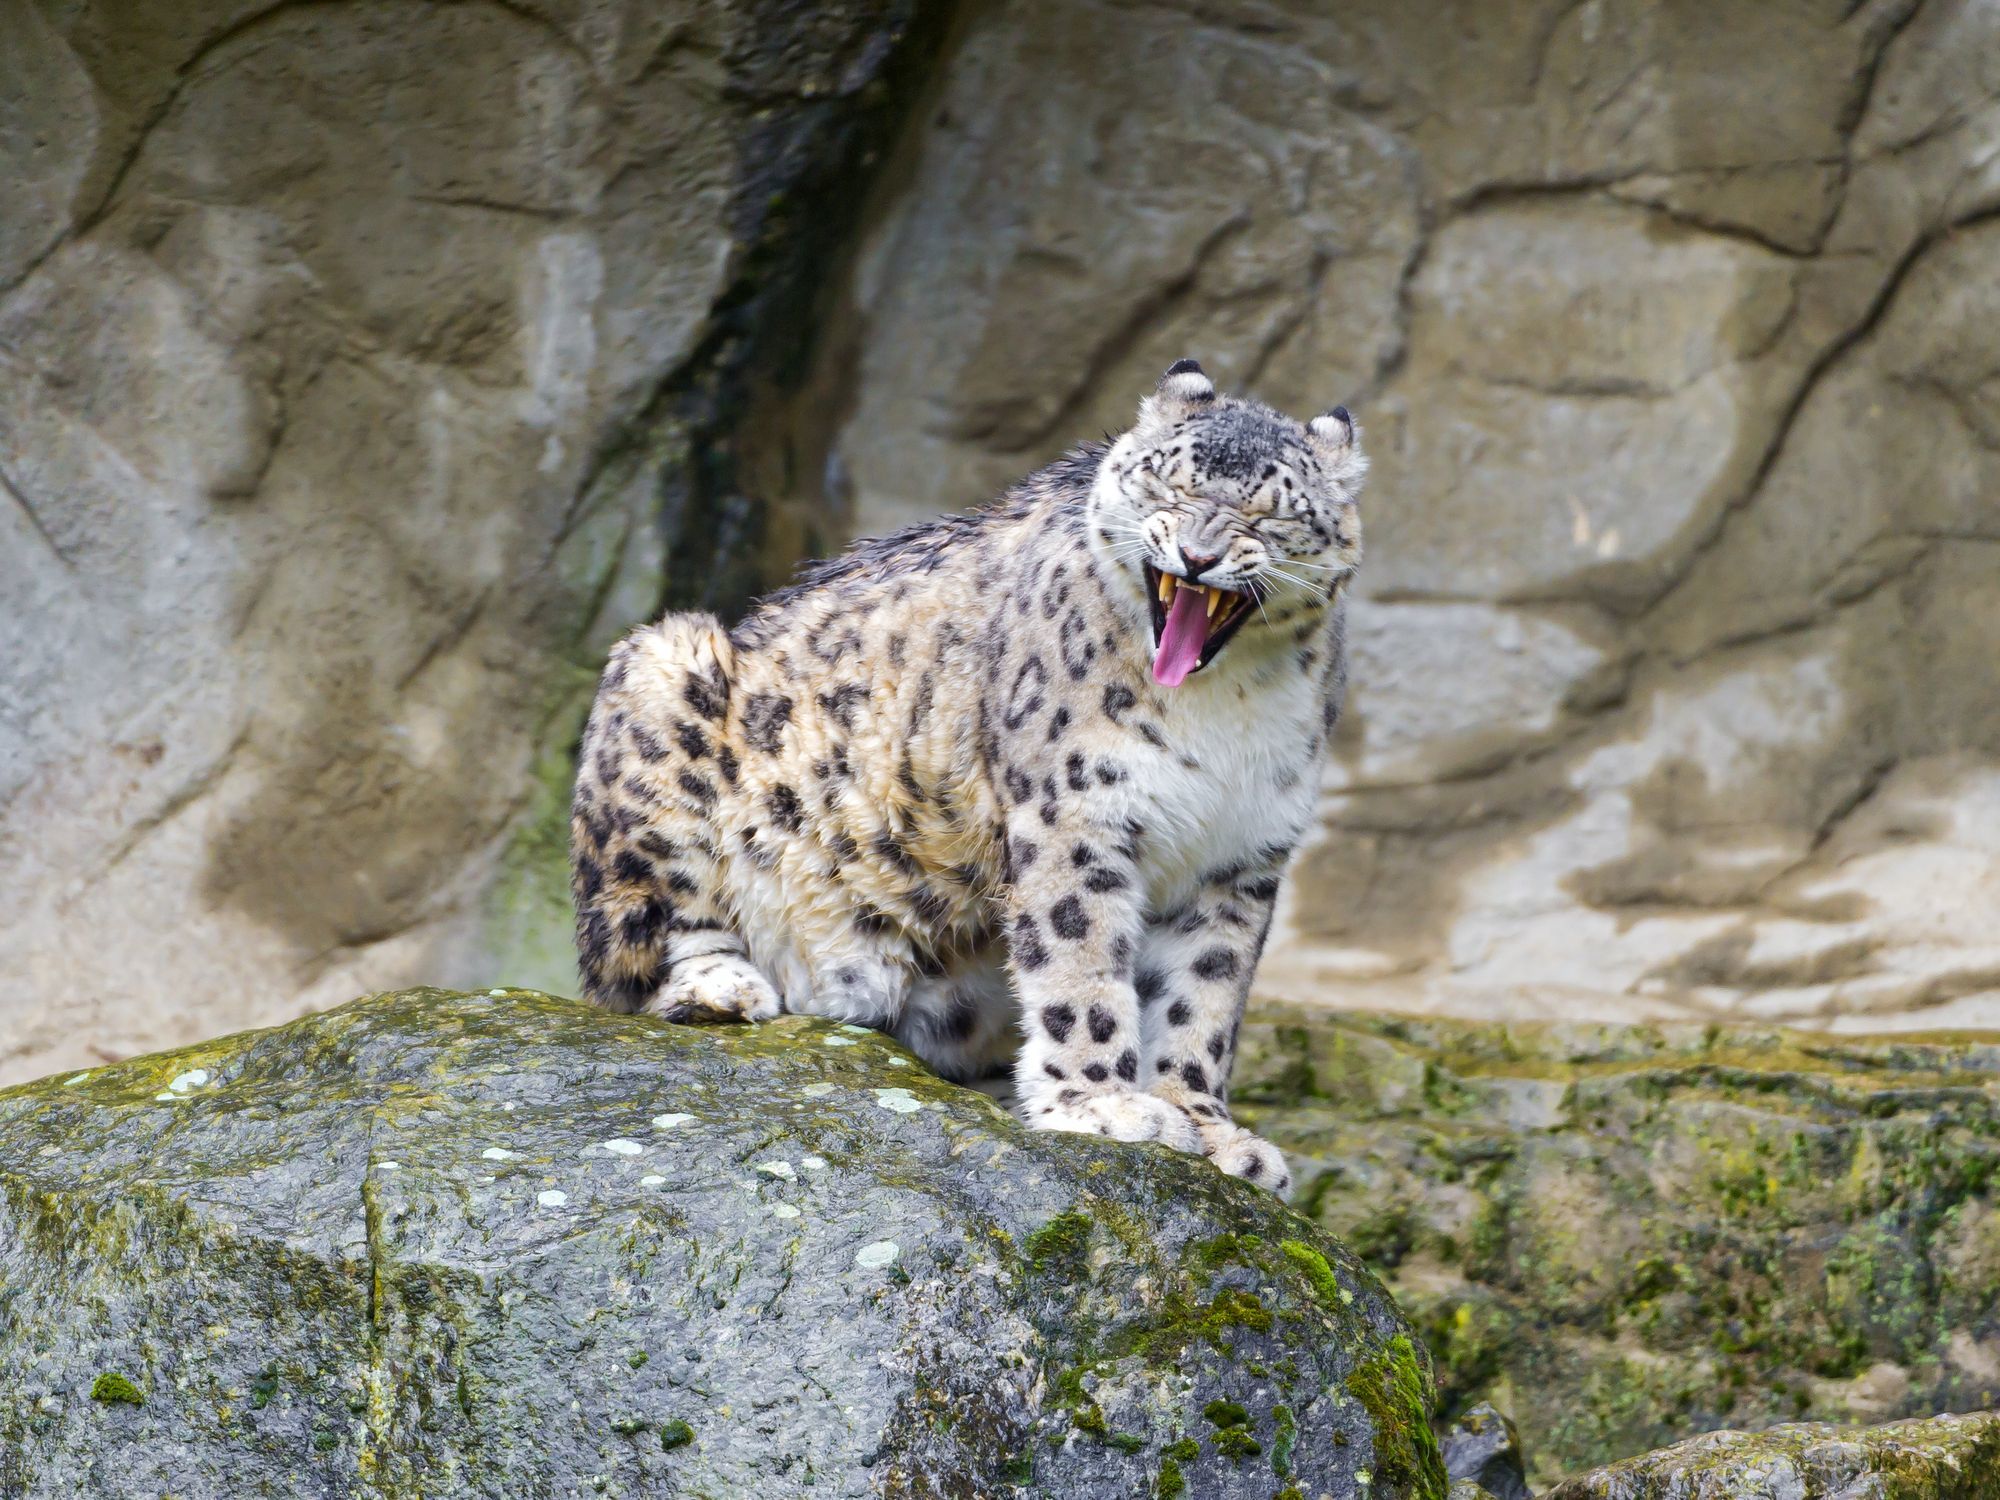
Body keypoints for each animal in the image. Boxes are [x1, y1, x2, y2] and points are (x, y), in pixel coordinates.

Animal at [572, 364, 1368, 1200]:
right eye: (1165, 486)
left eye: (1269, 512)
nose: (1196, 554)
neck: (1222, 710)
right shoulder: (1075, 811)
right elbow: (1081, 961)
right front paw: (1102, 1105)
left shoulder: (1241, 855)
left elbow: (1203, 995)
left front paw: (1207, 1127)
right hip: (662, 680)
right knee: (636, 949)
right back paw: (719, 989)